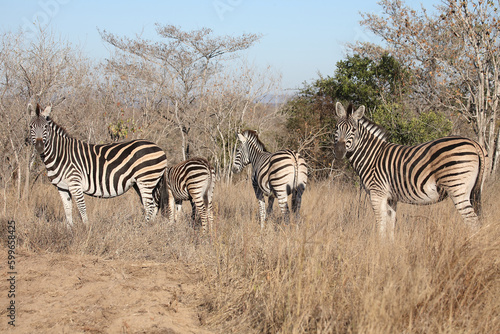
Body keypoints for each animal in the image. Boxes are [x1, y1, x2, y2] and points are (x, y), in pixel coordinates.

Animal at [27, 104, 168, 227]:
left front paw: (86, 230)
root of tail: (159, 148)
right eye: (30, 127)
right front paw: (69, 230)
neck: (60, 154)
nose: (39, 147)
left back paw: (144, 228)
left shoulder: (75, 183)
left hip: (146, 180)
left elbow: (82, 209)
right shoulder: (61, 187)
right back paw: (148, 227)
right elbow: (67, 210)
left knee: (150, 206)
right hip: (141, 183)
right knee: (152, 205)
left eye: (45, 127)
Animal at [334, 100, 486, 239]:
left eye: (353, 130)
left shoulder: (377, 193)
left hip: (457, 188)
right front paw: (389, 247)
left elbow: (380, 223)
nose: (339, 151)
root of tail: (474, 143)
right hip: (472, 190)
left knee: (473, 222)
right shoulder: (391, 198)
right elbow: (390, 225)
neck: (372, 156)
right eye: (336, 128)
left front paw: (378, 246)